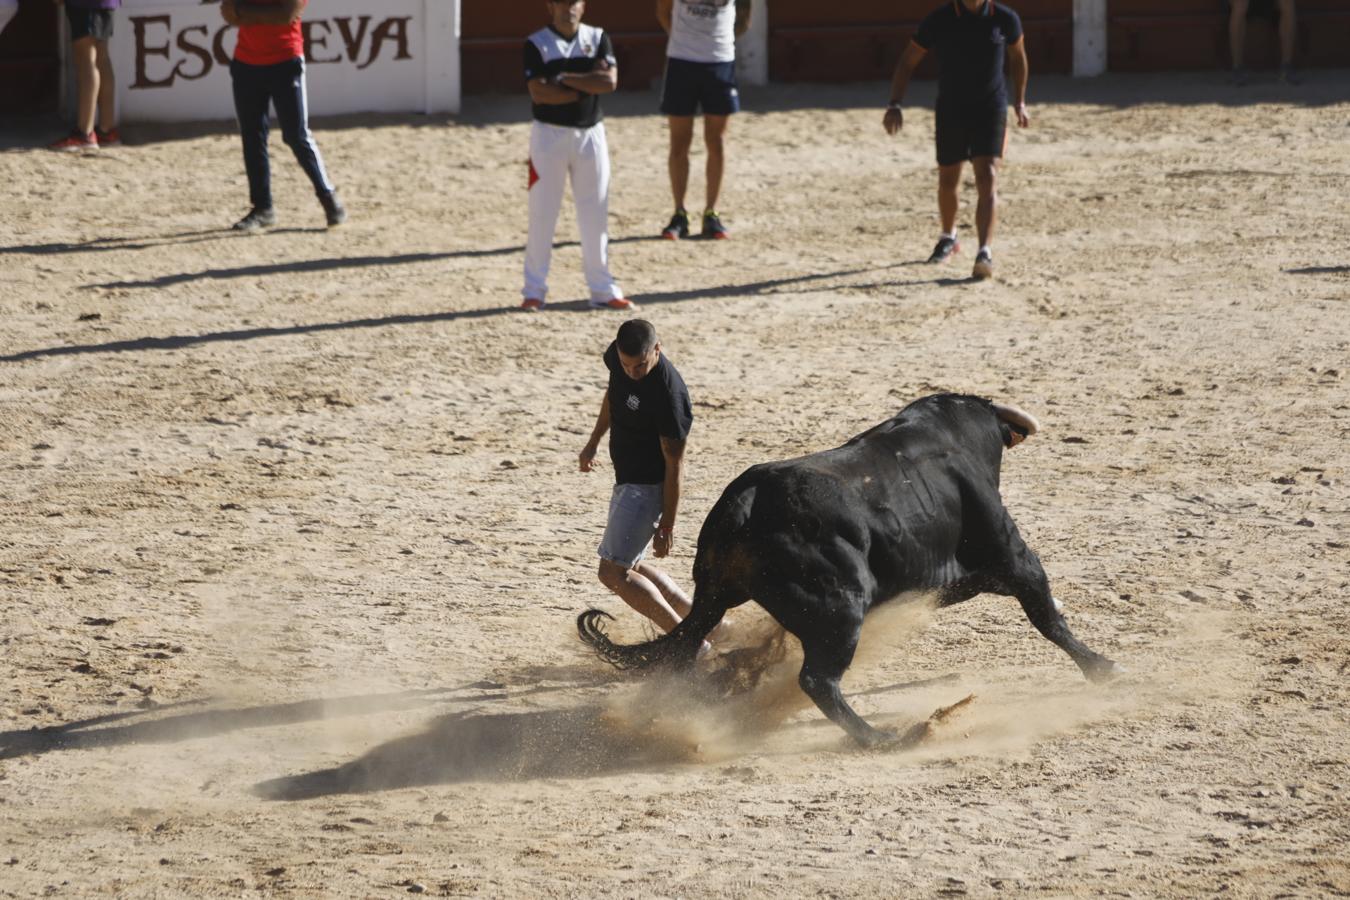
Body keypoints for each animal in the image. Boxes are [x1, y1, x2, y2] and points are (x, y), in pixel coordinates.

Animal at [577, 394, 1117, 744]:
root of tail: (746, 502)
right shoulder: (1010, 554)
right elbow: (1045, 613)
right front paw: (1103, 667)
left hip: (716, 598)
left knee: (687, 647)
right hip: (841, 612)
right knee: (818, 680)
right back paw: (883, 737)